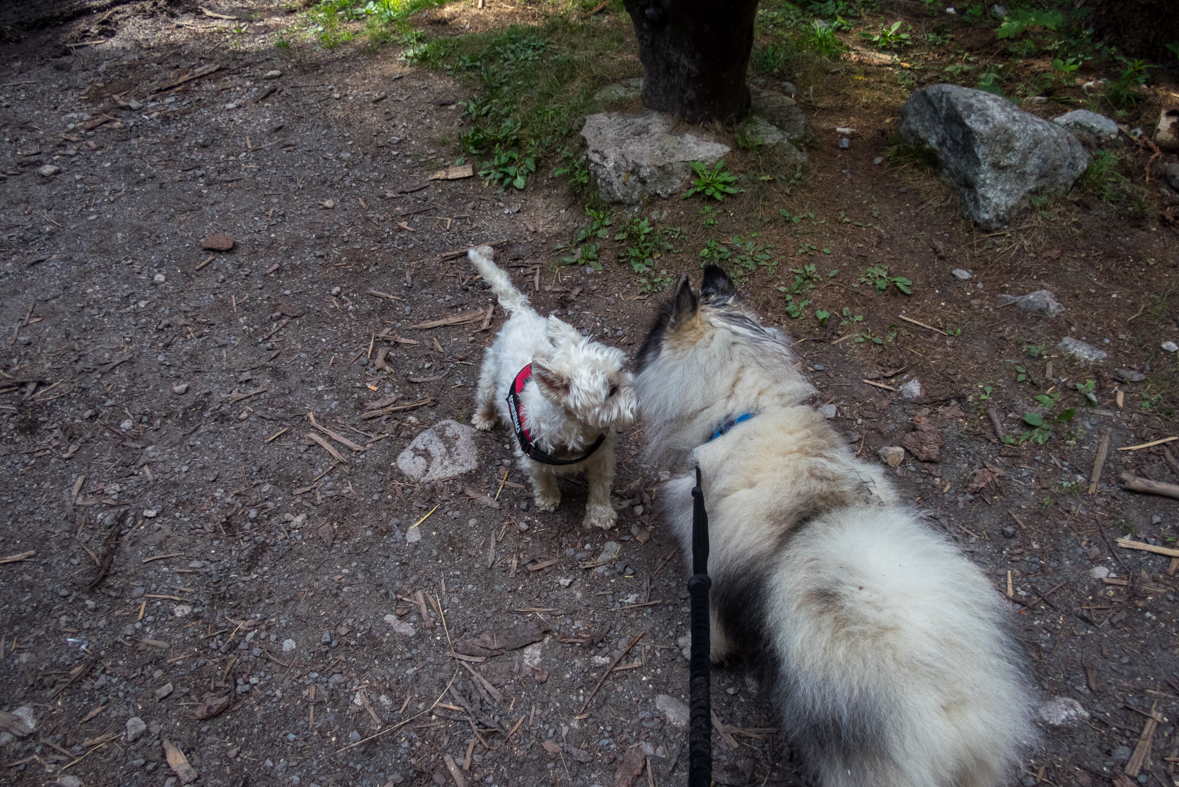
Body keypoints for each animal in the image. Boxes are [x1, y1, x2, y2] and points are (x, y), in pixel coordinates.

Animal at [466, 246, 636, 527]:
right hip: (489, 375)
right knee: (484, 395)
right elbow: (542, 478)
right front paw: (547, 498)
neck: (575, 429)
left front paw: (601, 513)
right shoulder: (531, 459)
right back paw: (484, 417)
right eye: (611, 390)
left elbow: (600, 487)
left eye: (623, 370)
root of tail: (523, 314)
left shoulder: (602, 458)